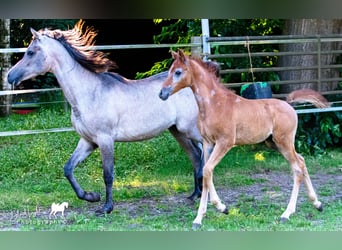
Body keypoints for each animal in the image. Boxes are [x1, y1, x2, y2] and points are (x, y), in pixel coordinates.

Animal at [7, 20, 203, 214]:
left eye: (30, 52)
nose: (10, 76)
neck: (89, 94)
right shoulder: (88, 140)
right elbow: (68, 169)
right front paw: (91, 196)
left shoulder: (105, 139)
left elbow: (108, 175)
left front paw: (106, 208)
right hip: (178, 131)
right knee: (195, 156)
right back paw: (195, 195)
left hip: (190, 129)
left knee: (204, 153)